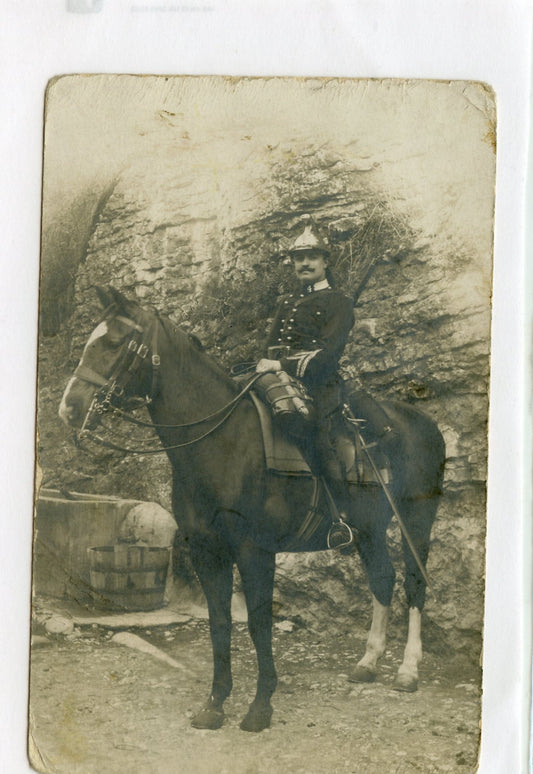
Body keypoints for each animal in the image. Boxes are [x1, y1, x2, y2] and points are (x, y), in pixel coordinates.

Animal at [59, 290, 444, 732]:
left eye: (113, 342)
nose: (69, 408)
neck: (223, 443)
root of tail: (422, 420)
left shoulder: (255, 551)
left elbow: (259, 625)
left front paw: (260, 706)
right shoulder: (207, 551)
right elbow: (220, 624)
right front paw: (215, 703)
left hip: (416, 521)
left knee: (414, 583)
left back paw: (408, 669)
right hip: (369, 529)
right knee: (382, 579)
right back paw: (368, 662)